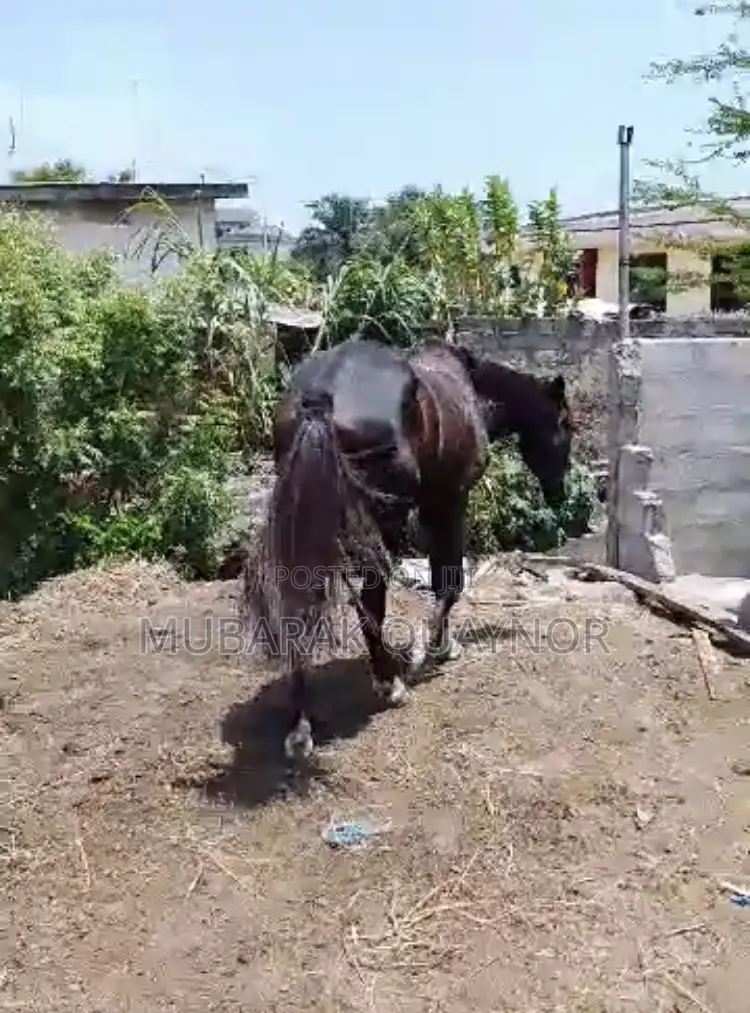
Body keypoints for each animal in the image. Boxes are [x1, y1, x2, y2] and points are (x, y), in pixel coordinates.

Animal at [241, 335, 573, 760]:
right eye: (565, 424)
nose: (560, 491)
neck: (471, 387)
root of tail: (320, 399)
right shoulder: (448, 501)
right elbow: (449, 582)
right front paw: (431, 649)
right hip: (380, 523)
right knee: (369, 600)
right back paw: (389, 682)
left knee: (302, 603)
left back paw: (301, 724)